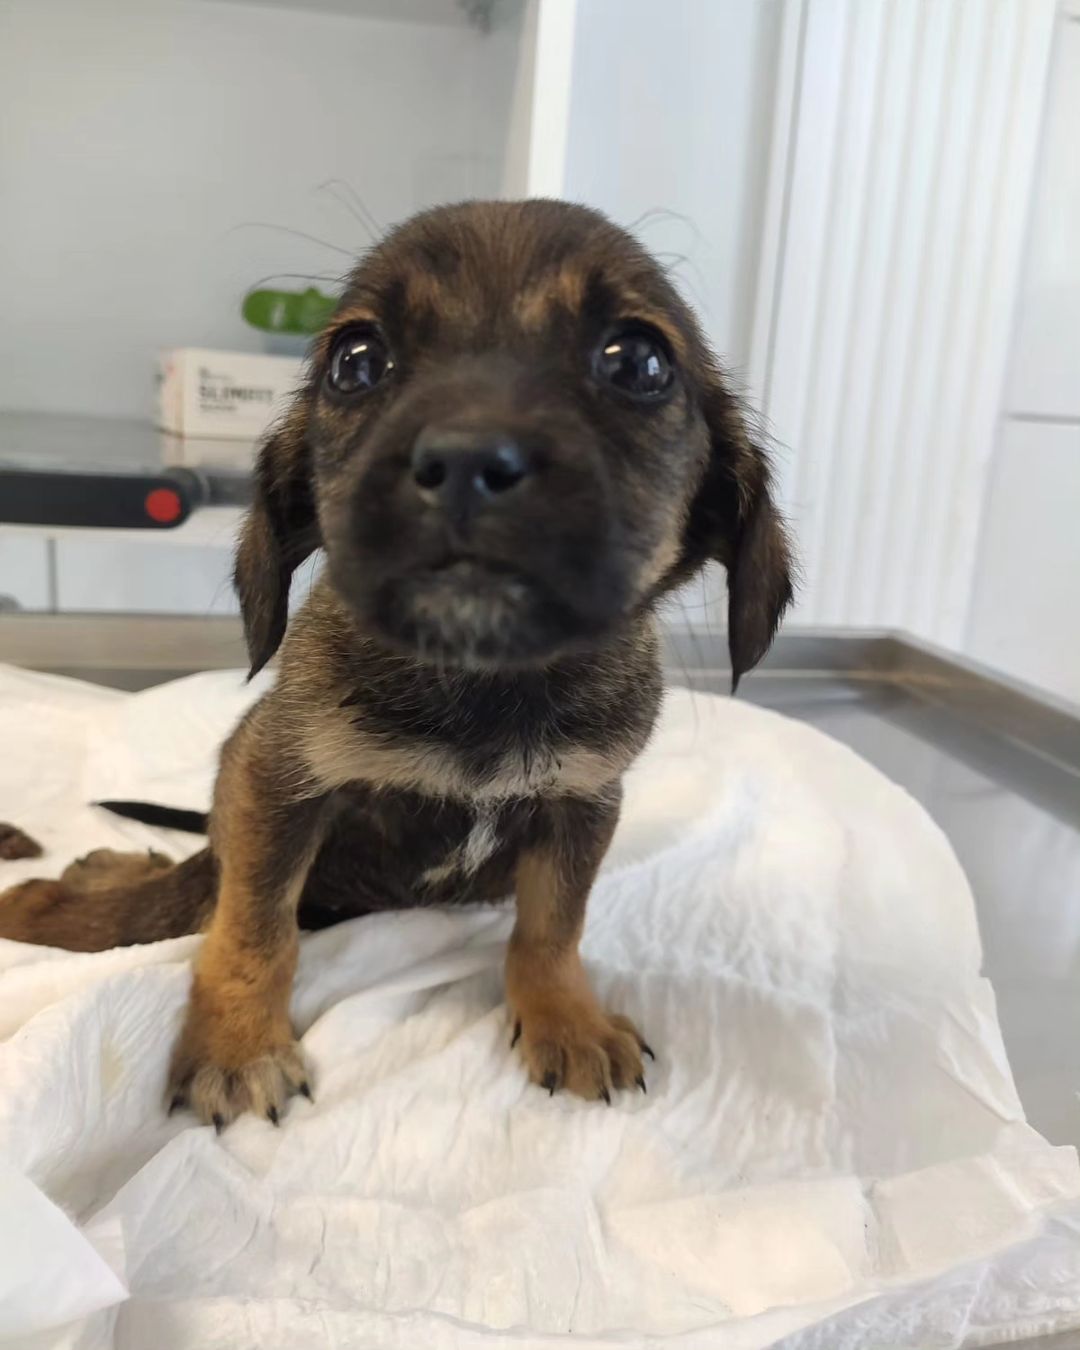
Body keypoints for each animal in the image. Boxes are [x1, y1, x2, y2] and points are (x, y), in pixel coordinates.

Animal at [0, 202, 793, 1128]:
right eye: (356, 361)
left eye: (638, 361)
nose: (467, 463)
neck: (483, 681)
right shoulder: (276, 783)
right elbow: (247, 925)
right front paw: (237, 1043)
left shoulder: (582, 805)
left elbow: (551, 929)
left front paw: (567, 1018)